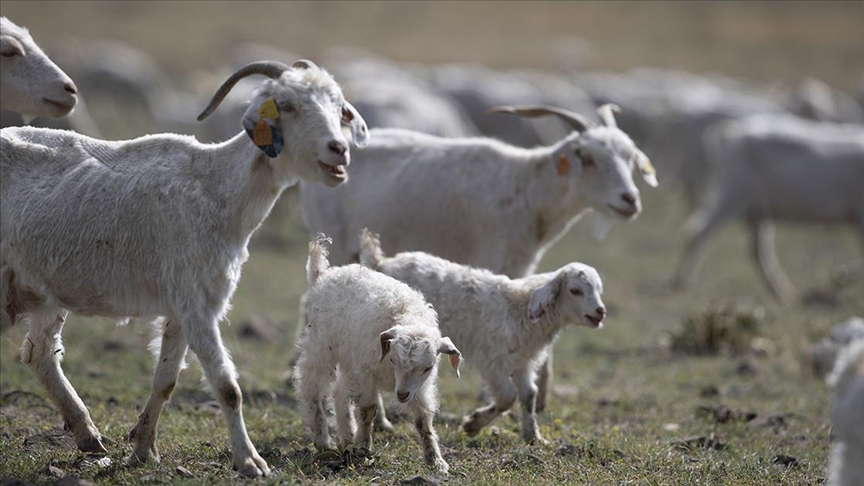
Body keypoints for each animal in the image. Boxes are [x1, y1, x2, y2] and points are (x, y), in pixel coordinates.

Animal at [0, 59, 368, 476]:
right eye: (287, 106)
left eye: (339, 109)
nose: (338, 150)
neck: (216, 187)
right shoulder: (195, 301)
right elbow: (228, 388)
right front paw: (250, 461)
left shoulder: (182, 306)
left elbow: (166, 380)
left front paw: (143, 449)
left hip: (44, 287)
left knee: (40, 353)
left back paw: (88, 435)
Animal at [294, 235, 461, 474]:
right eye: (392, 359)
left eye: (428, 367)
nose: (401, 395)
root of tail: (322, 274)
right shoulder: (367, 374)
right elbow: (368, 410)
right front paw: (363, 449)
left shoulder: (419, 386)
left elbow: (423, 419)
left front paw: (435, 460)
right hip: (321, 346)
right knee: (310, 386)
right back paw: (323, 441)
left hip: (350, 357)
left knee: (338, 392)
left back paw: (347, 437)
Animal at [300, 103, 655, 415]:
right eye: (586, 157)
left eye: (631, 157)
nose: (630, 200)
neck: (527, 189)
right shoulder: (492, 259)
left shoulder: (520, 265)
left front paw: (538, 399)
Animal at [359, 228, 605, 444]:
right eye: (575, 290)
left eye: (598, 289)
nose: (600, 311)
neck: (518, 308)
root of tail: (381, 263)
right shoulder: (492, 360)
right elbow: (507, 396)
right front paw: (473, 424)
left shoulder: (523, 361)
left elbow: (528, 396)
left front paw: (533, 436)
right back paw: (381, 422)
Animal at [673, 113, 864, 302]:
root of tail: (731, 132)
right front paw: (840, 277)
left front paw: (840, 277)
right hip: (732, 194)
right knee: (698, 230)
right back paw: (682, 282)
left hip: (757, 209)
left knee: (758, 250)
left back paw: (782, 291)